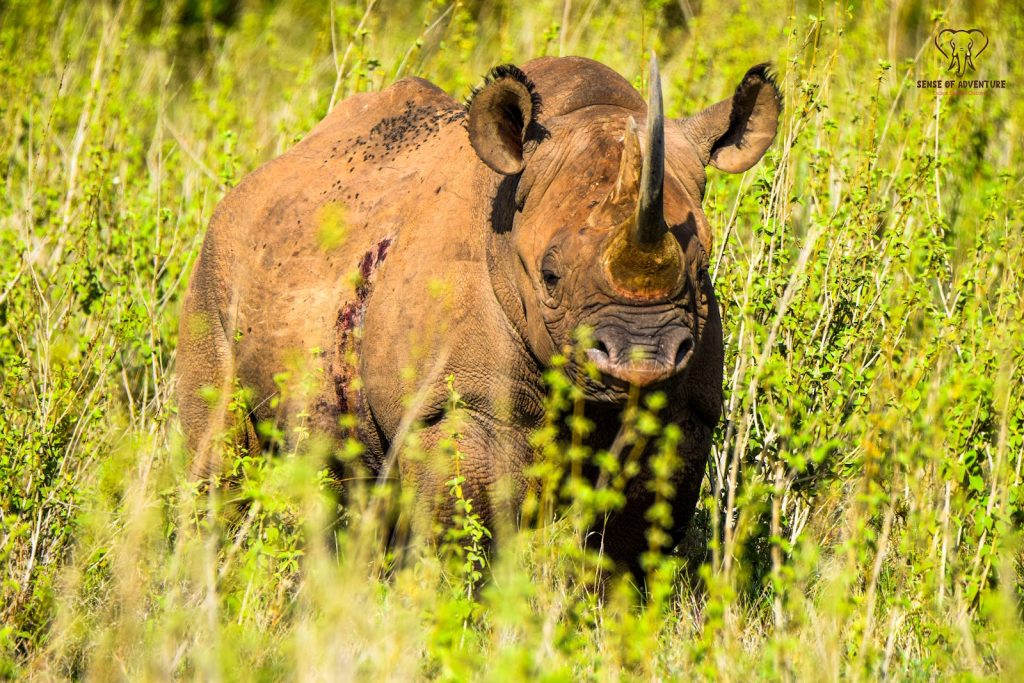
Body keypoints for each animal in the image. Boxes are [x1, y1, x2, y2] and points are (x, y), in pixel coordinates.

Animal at [177, 55, 781, 570]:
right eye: (550, 277)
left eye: (700, 269)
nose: (643, 358)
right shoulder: (458, 402)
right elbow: (463, 538)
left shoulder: (683, 410)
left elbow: (625, 553)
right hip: (215, 265)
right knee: (221, 461)